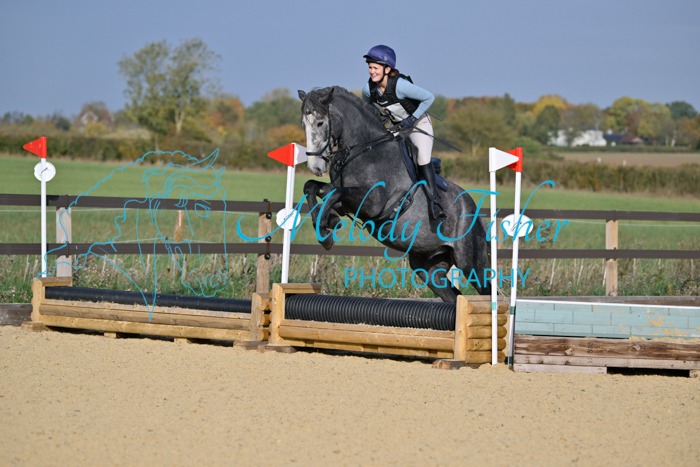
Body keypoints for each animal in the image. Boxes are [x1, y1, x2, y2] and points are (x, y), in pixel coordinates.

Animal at [298, 86, 491, 302]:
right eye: (303, 124)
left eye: (320, 122)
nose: (315, 167)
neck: (363, 149)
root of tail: (477, 214)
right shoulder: (344, 199)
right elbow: (313, 188)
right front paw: (328, 222)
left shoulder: (372, 203)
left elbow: (334, 194)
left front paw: (326, 232)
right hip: (428, 267)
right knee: (452, 296)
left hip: (470, 262)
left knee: (487, 291)